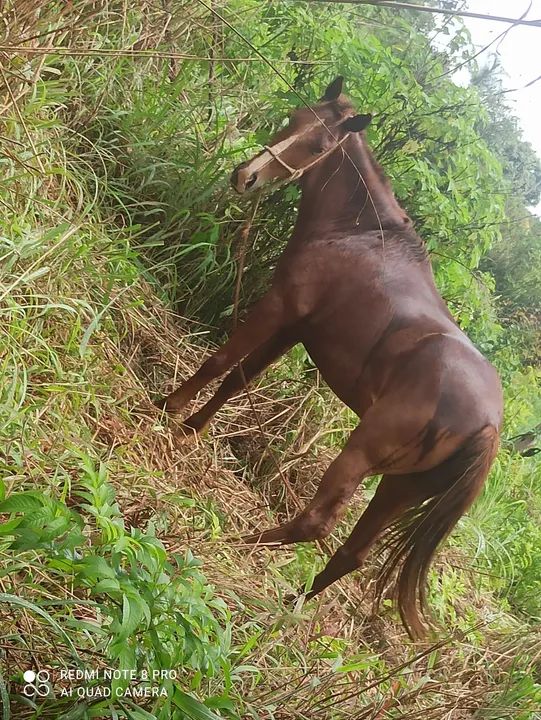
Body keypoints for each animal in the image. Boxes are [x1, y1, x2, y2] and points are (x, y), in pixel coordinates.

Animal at [157, 76, 503, 638]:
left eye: (320, 145)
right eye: (294, 119)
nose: (246, 176)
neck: (359, 235)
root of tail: (490, 424)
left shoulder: (278, 305)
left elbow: (220, 361)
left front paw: (165, 409)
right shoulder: (298, 327)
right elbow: (239, 379)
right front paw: (189, 429)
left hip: (359, 454)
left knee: (316, 522)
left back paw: (232, 542)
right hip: (398, 489)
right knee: (351, 554)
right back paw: (290, 602)